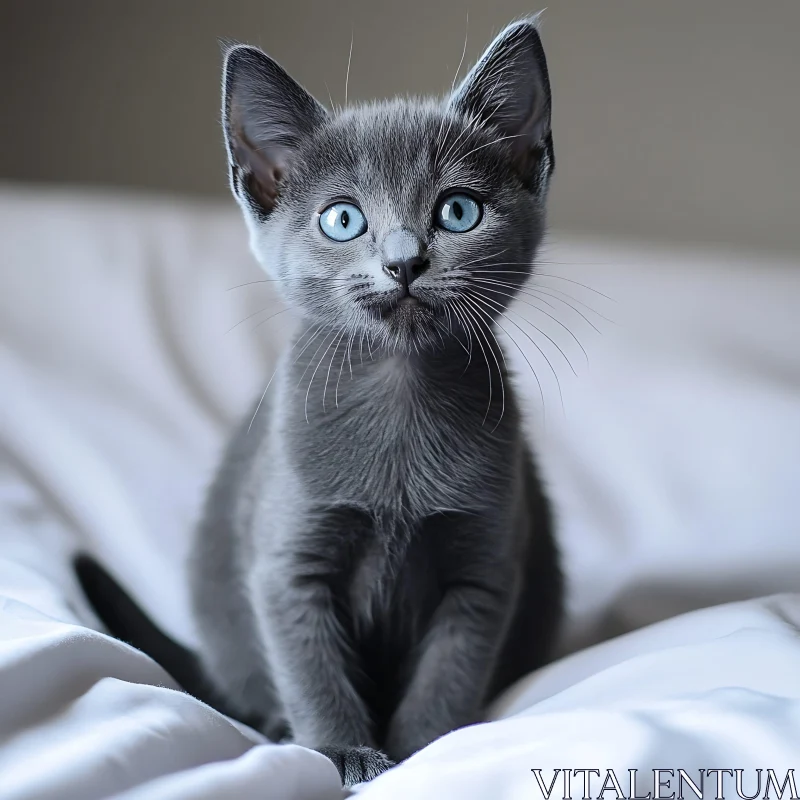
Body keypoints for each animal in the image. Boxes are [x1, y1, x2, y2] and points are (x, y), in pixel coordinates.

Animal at [75, 17, 564, 788]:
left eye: (458, 211)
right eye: (342, 220)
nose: (404, 260)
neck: (399, 393)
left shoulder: (483, 570)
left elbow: (449, 672)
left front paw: (423, 751)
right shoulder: (289, 564)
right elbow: (311, 667)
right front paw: (341, 752)